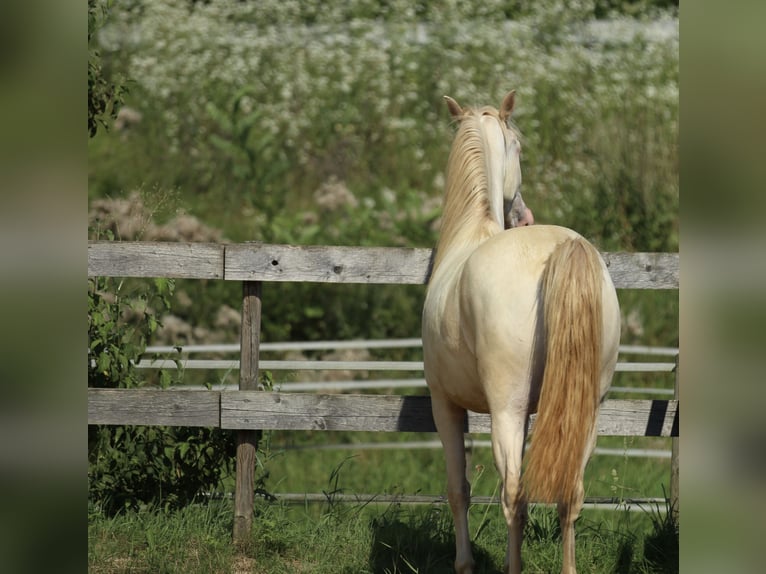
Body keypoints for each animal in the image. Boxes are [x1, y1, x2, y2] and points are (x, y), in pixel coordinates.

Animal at [420, 91, 624, 574]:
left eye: (517, 146)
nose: (524, 215)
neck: (469, 234)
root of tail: (561, 250)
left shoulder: (444, 404)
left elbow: (458, 490)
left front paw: (464, 563)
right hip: (586, 408)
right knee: (571, 492)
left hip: (507, 410)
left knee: (514, 494)